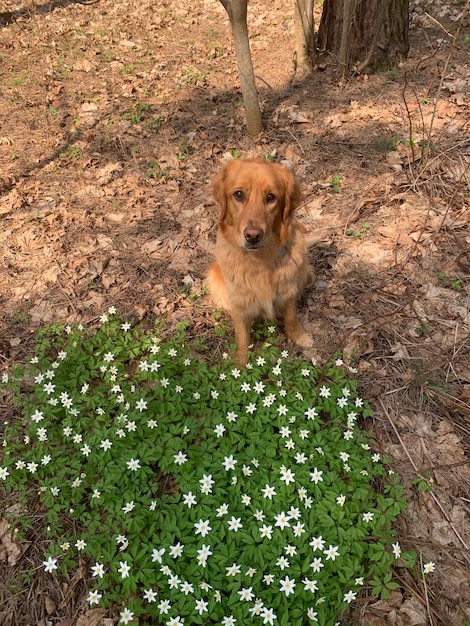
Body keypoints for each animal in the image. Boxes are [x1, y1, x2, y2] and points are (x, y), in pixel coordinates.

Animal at [206, 156, 312, 364]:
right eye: (238, 194)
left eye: (271, 197)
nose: (253, 236)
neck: (261, 260)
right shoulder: (240, 303)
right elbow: (242, 336)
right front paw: (241, 363)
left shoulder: (288, 289)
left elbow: (291, 317)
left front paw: (299, 337)